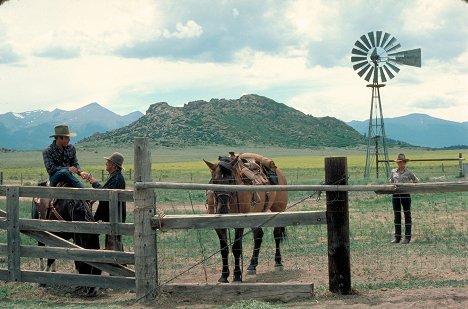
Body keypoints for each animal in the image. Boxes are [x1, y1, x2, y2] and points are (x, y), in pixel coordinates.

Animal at [205, 152, 288, 282]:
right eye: (214, 180)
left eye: (231, 180)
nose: (222, 208)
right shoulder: (219, 226)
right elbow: (224, 249)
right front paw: (223, 276)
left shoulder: (239, 224)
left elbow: (236, 248)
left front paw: (237, 276)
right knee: (258, 235)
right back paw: (252, 265)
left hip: (278, 210)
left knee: (277, 234)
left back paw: (278, 263)